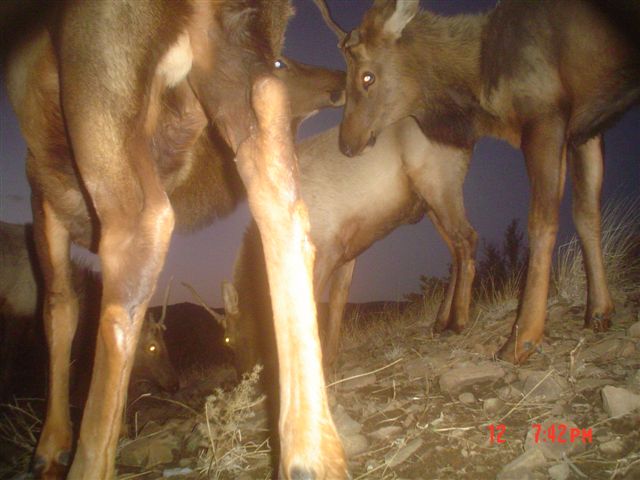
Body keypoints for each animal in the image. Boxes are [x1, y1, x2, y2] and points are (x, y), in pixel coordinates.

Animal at [198, 117, 475, 375]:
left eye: (228, 338)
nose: (243, 375)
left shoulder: (325, 250)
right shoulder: (347, 251)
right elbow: (337, 301)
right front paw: (329, 358)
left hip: (438, 183)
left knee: (467, 239)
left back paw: (459, 321)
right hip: (431, 203)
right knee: (455, 252)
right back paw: (441, 321)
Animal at [317, 0, 640, 364]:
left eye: (367, 76)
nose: (346, 144)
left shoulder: (545, 118)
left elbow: (541, 223)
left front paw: (521, 339)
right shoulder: (587, 127)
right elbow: (587, 216)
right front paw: (598, 311)